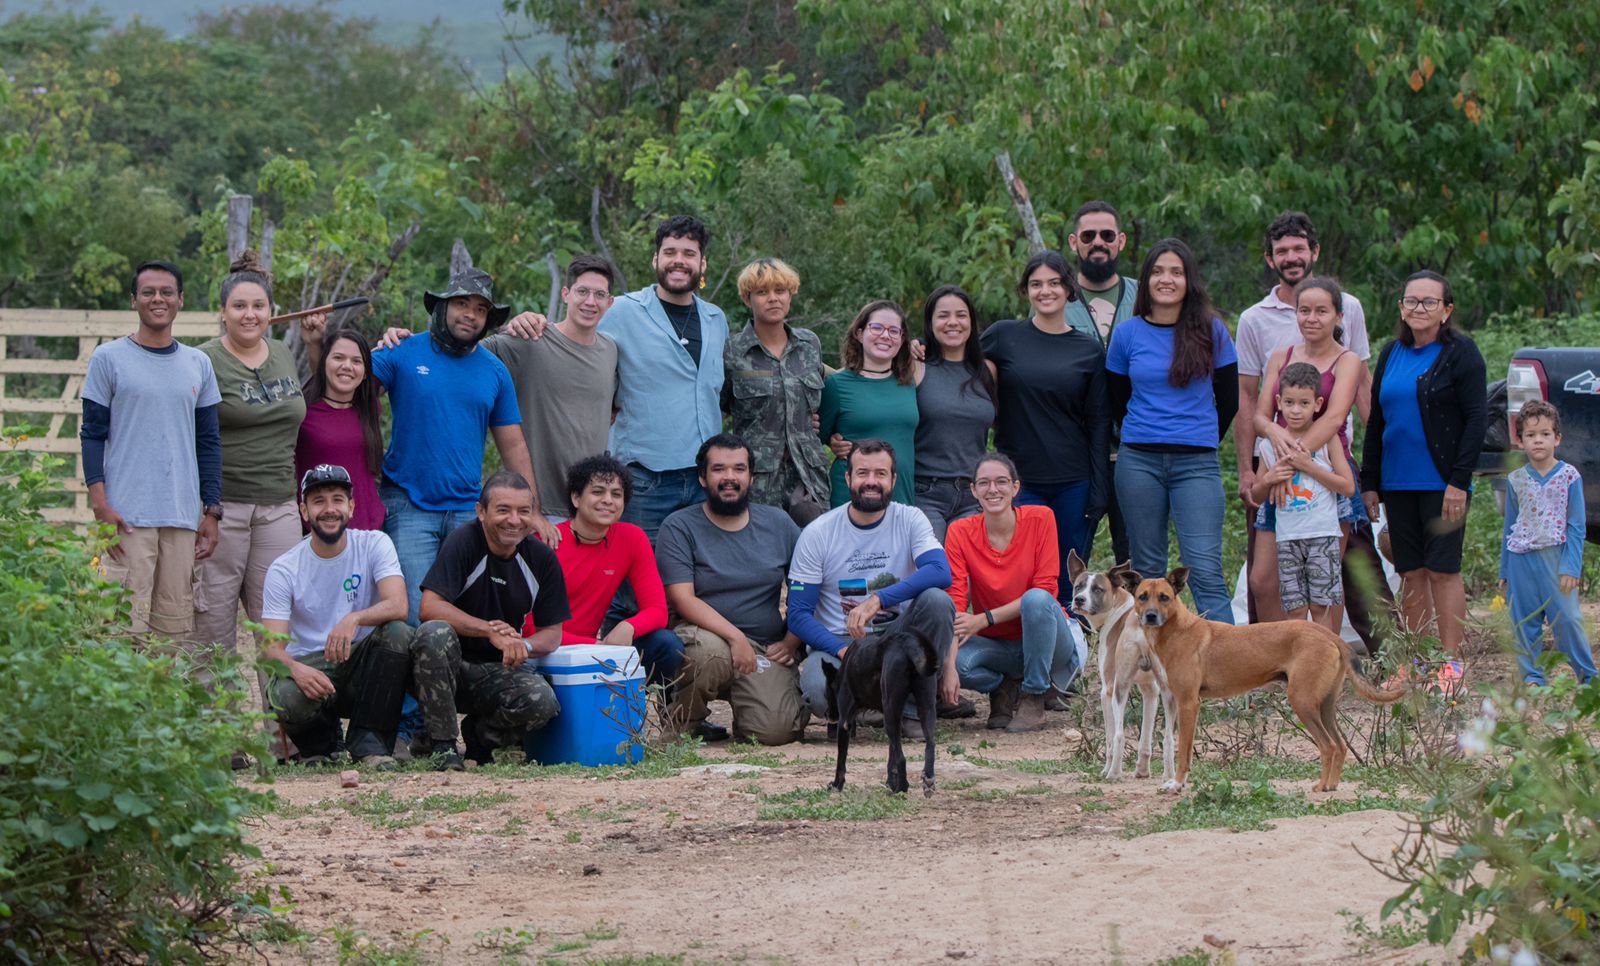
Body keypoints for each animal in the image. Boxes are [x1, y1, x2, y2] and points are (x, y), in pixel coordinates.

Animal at [819, 630, 940, 796]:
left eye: (826, 694)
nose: (826, 714)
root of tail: (908, 643)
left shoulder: (844, 722)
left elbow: (841, 760)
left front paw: (837, 784)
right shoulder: (895, 717)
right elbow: (891, 756)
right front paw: (890, 783)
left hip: (891, 712)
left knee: (902, 758)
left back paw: (902, 788)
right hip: (924, 708)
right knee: (930, 744)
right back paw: (927, 779)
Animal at [1062, 550, 1177, 783]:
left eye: (1098, 589)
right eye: (1078, 586)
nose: (1079, 600)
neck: (1117, 607)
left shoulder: (1106, 691)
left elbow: (1109, 739)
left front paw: (1106, 769)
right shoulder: (1150, 691)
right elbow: (1145, 738)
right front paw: (1142, 770)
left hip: (1118, 690)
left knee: (1119, 735)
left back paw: (1113, 773)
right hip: (1169, 692)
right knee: (1169, 738)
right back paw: (1170, 777)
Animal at [1132, 569, 1408, 790]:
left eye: (1164, 597)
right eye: (1142, 596)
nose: (1150, 616)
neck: (1178, 629)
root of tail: (1329, 634)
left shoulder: (1189, 703)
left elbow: (1184, 752)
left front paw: (1177, 784)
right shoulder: (1175, 700)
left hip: (1302, 702)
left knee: (1328, 746)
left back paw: (1321, 787)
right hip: (1325, 706)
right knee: (1340, 746)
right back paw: (1330, 785)